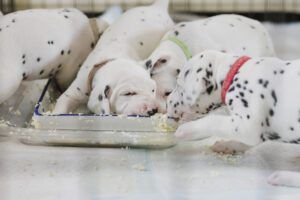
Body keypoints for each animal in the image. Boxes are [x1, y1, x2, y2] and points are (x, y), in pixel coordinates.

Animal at [168, 50, 300, 188]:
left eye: (178, 85)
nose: (167, 101)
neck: (233, 75)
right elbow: (246, 142)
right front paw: (228, 145)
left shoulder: (247, 125)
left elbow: (214, 121)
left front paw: (186, 129)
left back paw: (282, 177)